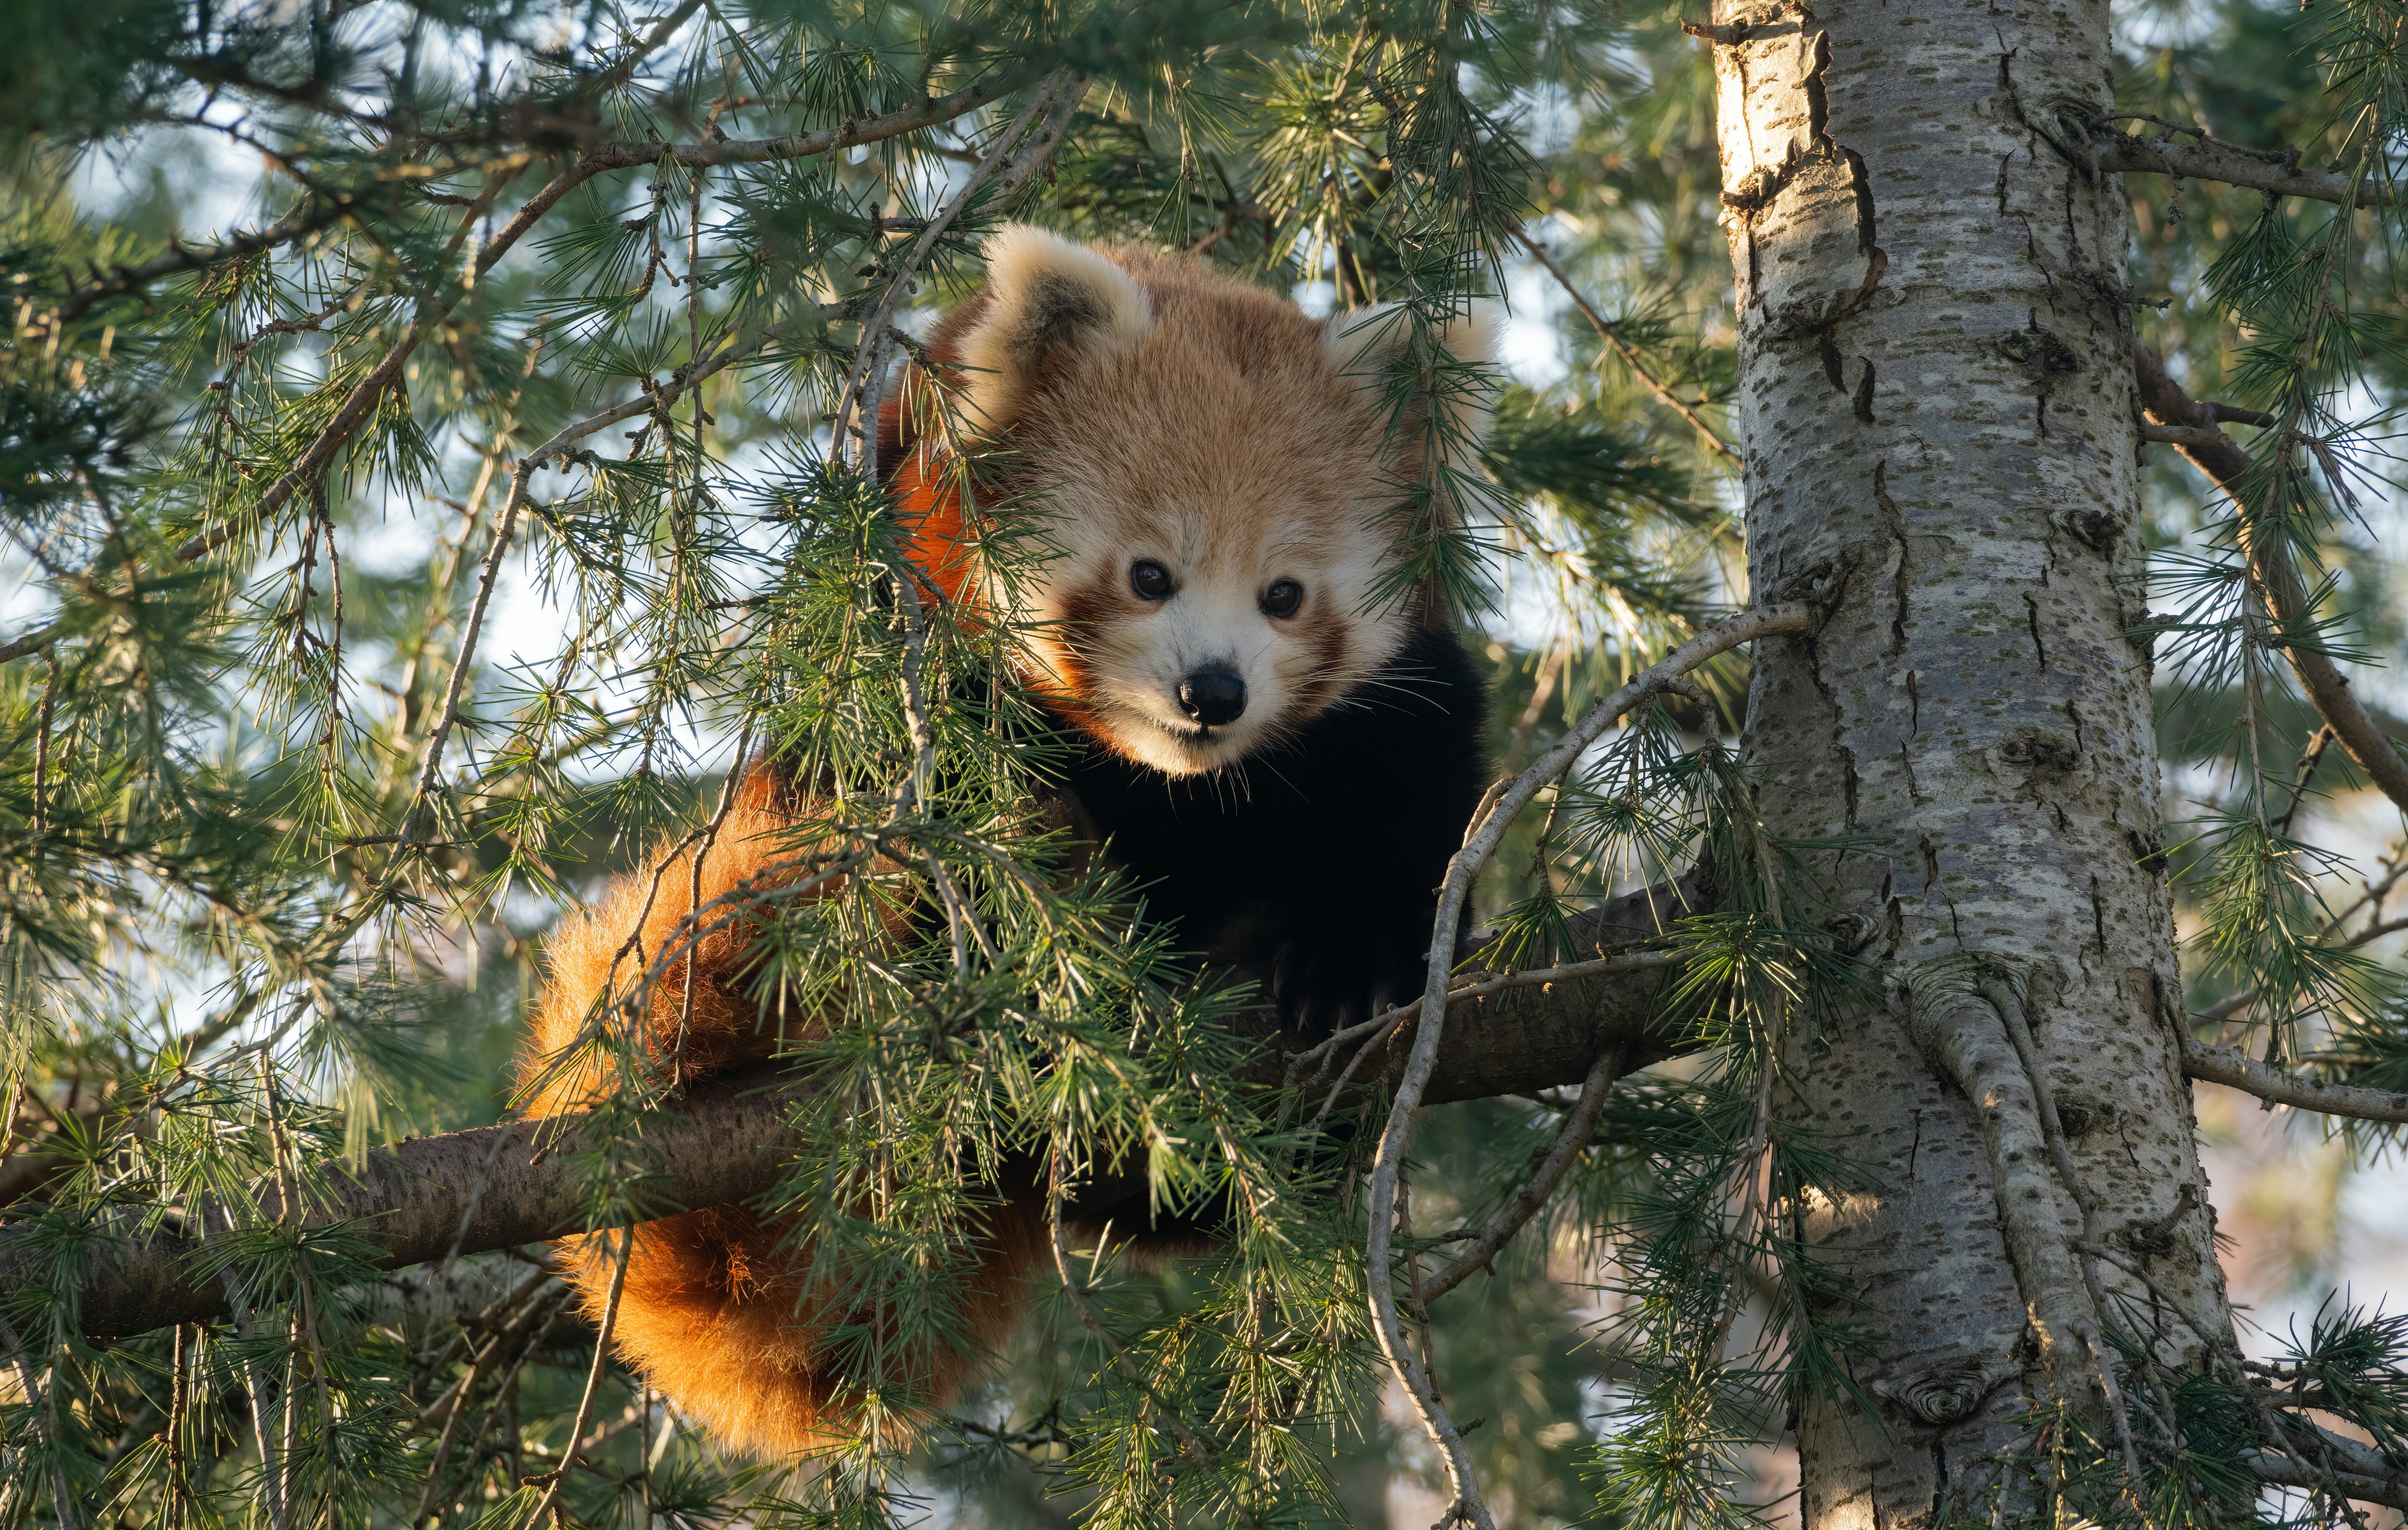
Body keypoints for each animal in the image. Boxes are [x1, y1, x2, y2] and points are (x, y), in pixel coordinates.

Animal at [519, 227, 1497, 1456]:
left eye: (1284, 596)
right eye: (1148, 575)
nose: (1212, 692)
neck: (1172, 789)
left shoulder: (1397, 716)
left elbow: (1408, 817)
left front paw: (1348, 964)